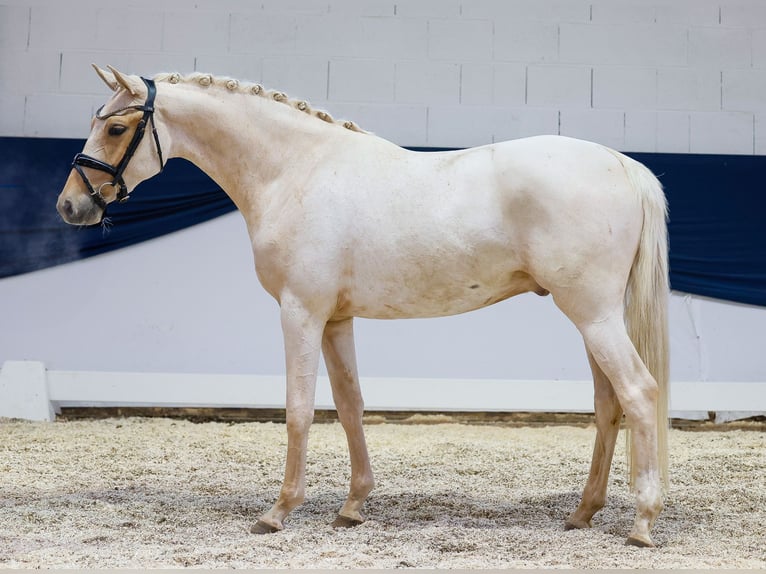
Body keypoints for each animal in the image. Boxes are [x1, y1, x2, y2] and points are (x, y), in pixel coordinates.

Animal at [58, 65, 672, 548]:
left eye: (116, 126)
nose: (70, 205)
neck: (294, 170)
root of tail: (623, 164)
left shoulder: (300, 312)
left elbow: (299, 409)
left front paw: (278, 512)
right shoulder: (335, 319)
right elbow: (350, 406)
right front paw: (352, 507)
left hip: (593, 315)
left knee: (640, 394)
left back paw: (642, 523)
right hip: (592, 319)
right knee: (608, 405)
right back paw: (582, 513)